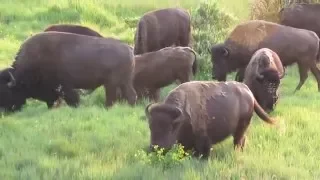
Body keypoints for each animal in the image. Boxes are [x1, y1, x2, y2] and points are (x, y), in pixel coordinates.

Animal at [0, 31, 136, 112]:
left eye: (6, 92)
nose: (4, 111)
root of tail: (128, 48)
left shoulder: (65, 87)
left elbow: (73, 100)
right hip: (124, 82)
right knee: (130, 95)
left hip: (111, 84)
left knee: (112, 98)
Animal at [146, 80, 276, 159]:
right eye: (150, 127)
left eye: (170, 129)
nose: (154, 148)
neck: (181, 118)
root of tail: (249, 92)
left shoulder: (203, 139)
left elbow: (204, 151)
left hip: (241, 128)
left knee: (238, 141)